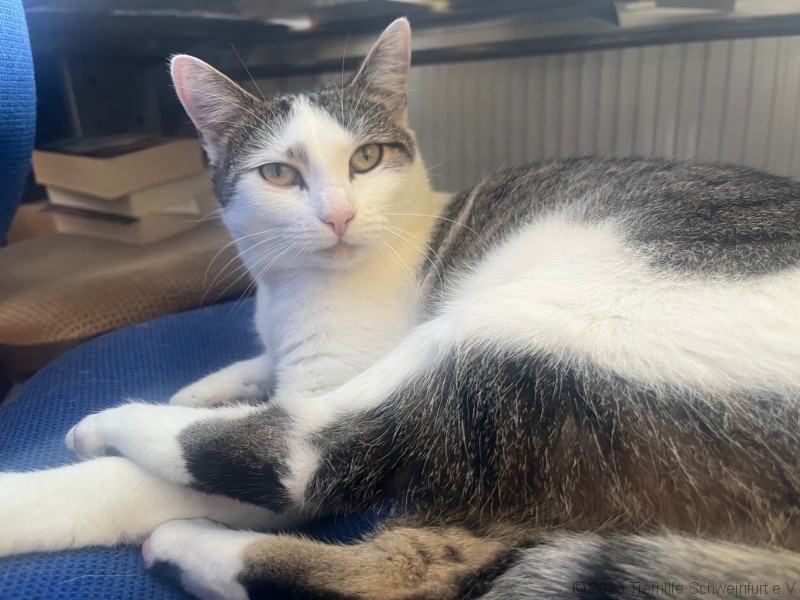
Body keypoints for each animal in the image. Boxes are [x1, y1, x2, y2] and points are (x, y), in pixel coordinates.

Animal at [1, 17, 799, 600]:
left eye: (366, 159)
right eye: (279, 174)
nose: (339, 216)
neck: (294, 290)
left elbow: (170, 478)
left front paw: (38, 497)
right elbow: (258, 361)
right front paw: (210, 386)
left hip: (544, 321)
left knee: (310, 457)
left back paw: (126, 447)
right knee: (420, 567)